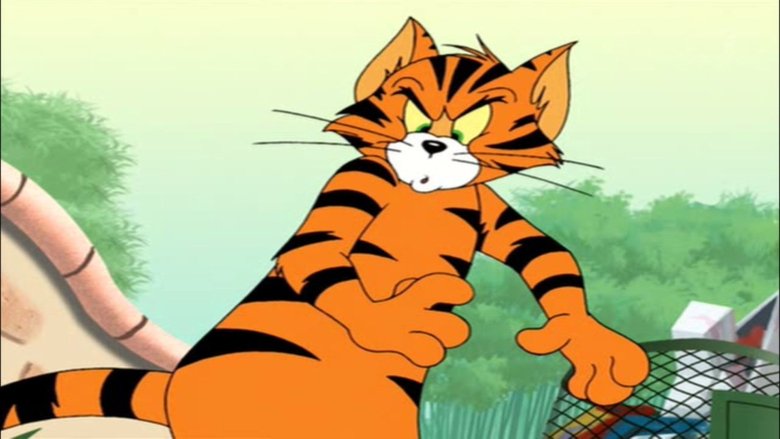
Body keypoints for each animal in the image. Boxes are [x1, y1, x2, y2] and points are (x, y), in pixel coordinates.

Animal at [0, 18, 649, 439]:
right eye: (412, 111)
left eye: (476, 123)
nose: (434, 144)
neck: (425, 202)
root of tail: (171, 386)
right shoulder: (356, 182)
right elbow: (322, 255)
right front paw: (401, 319)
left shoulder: (486, 204)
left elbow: (544, 254)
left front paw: (591, 342)